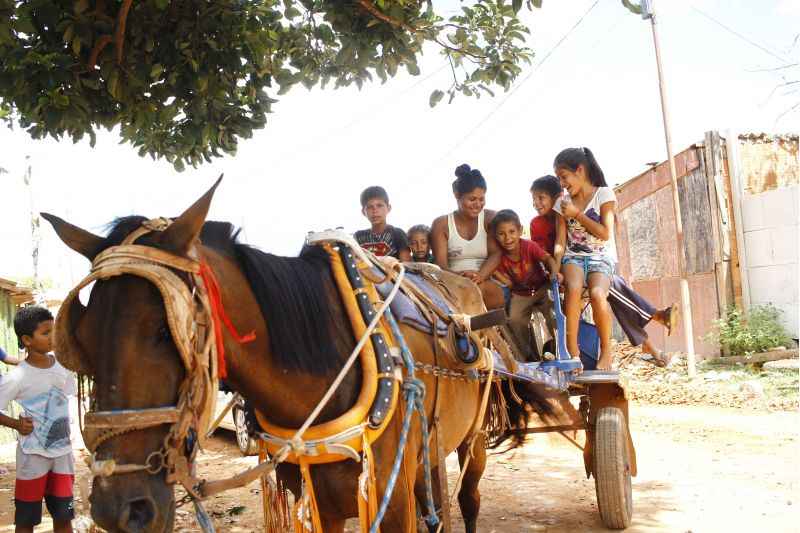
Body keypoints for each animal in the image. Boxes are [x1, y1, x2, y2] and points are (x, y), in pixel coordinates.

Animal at [42, 181, 552, 528]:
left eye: (167, 331)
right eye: (80, 336)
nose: (118, 508)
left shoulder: (390, 497)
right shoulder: (314, 495)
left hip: (473, 436)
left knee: (468, 498)